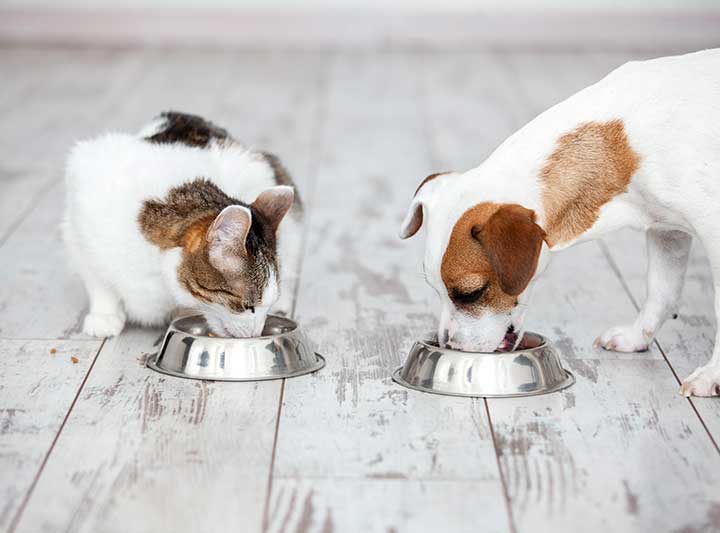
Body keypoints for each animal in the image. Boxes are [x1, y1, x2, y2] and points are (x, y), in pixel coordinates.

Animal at [63, 111, 302, 336]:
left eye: (264, 306)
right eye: (248, 306)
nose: (256, 333)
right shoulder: (79, 217)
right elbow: (97, 280)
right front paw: (104, 315)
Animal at [400, 48, 720, 394]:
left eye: (470, 293)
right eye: (435, 288)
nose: (449, 345)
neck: (623, 145)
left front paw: (711, 375)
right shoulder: (666, 232)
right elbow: (661, 291)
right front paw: (637, 337)